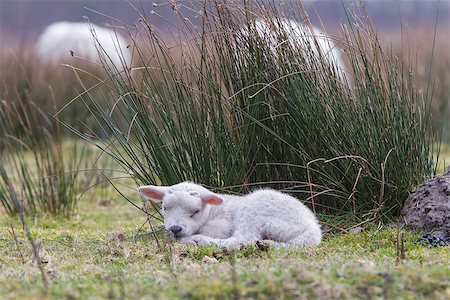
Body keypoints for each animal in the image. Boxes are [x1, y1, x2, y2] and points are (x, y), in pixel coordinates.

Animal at [139, 180, 322, 248]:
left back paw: (198, 240)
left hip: (255, 209)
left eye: (196, 211)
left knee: (242, 239)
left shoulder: (223, 224)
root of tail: (313, 232)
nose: (175, 229)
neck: (212, 211)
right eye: (164, 208)